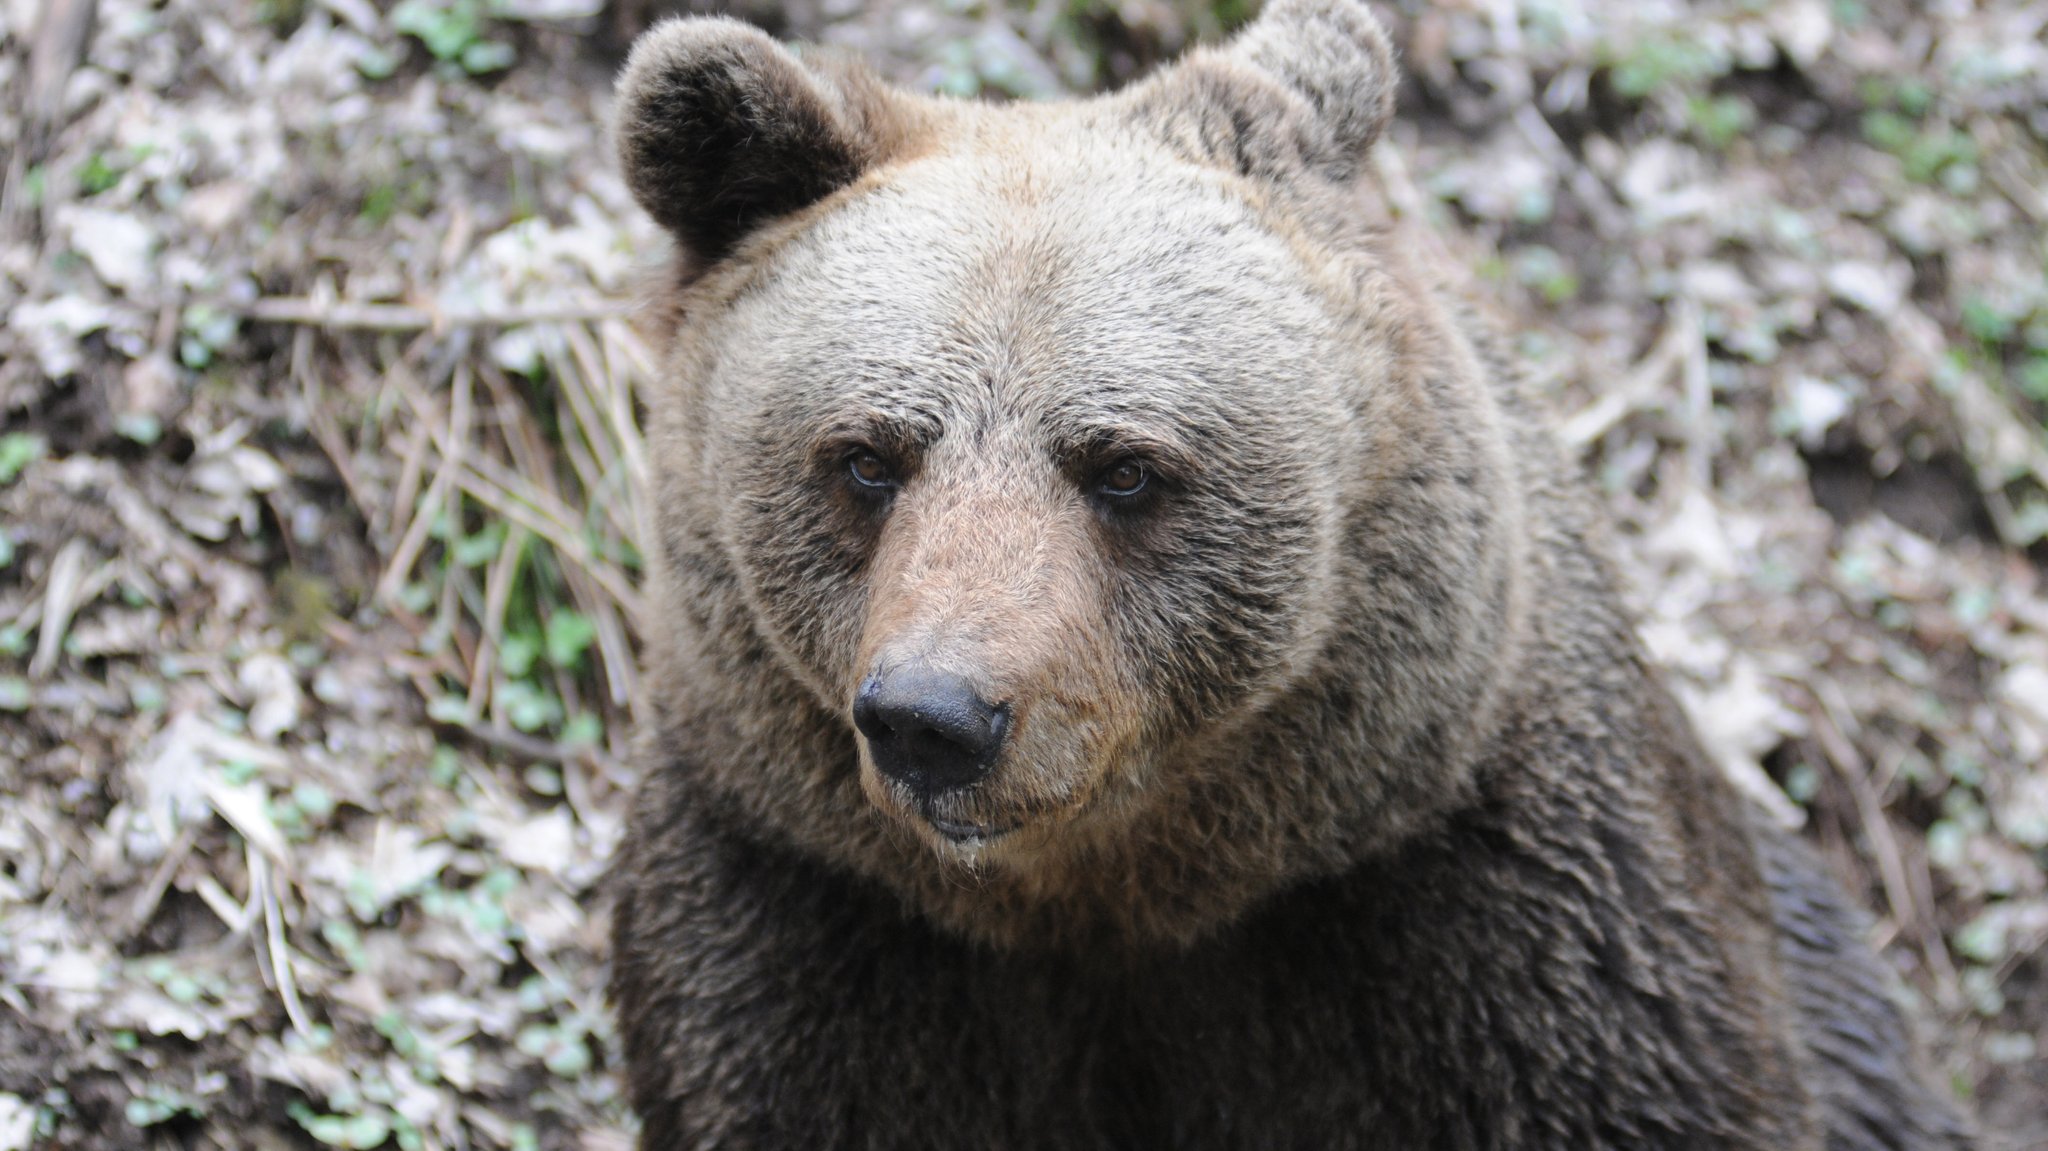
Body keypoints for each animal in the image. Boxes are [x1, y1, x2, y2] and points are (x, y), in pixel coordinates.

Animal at [602, 4, 1966, 1138]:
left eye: (1124, 466)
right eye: (866, 457)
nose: (934, 716)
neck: (1111, 900)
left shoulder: (1492, 925)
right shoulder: (813, 917)